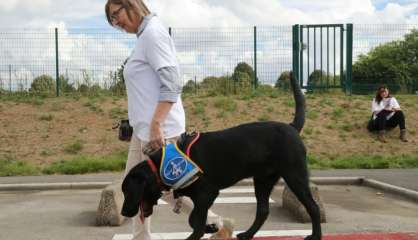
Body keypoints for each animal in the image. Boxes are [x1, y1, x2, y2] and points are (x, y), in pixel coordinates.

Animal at [121, 73, 324, 240]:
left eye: (128, 191)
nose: (123, 213)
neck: (161, 165)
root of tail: (292, 127)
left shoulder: (207, 194)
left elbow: (195, 221)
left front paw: (202, 231)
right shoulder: (202, 198)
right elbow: (194, 220)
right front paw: (210, 228)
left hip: (294, 176)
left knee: (313, 207)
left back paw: (315, 236)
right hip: (262, 180)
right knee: (263, 211)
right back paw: (247, 234)